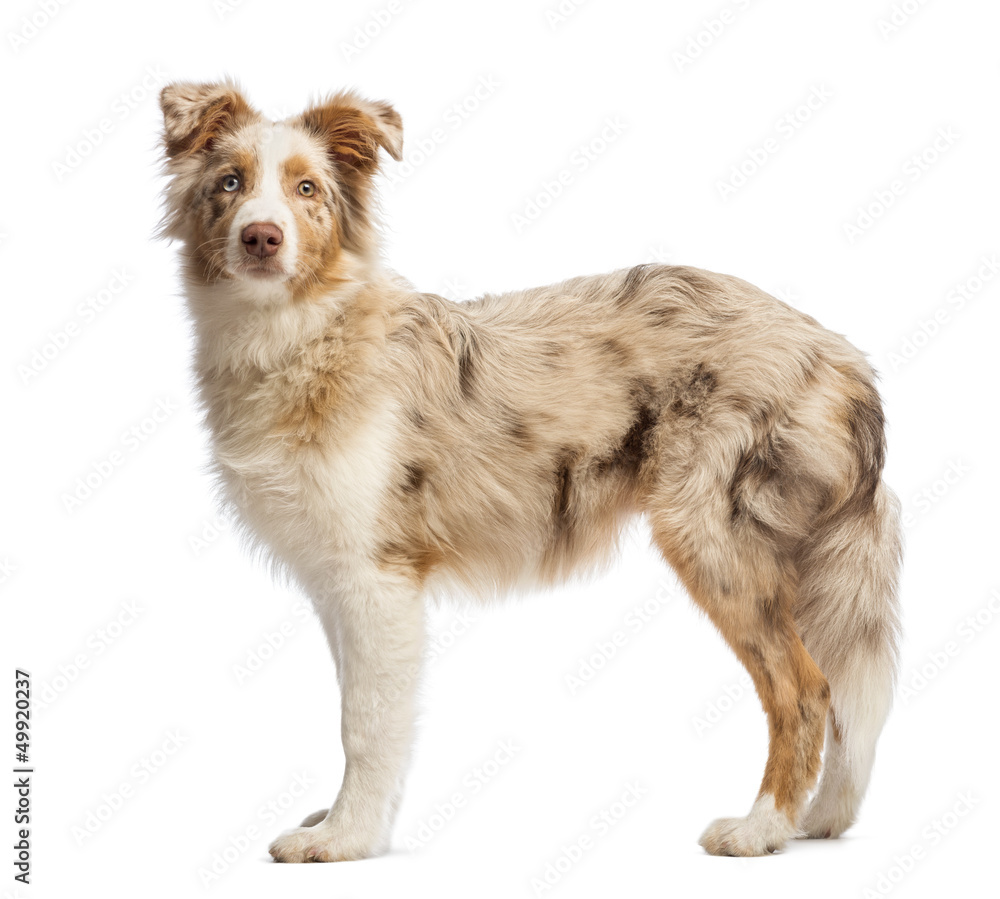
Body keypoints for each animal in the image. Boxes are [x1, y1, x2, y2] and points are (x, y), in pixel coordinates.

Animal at [160, 84, 904, 864]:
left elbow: (365, 723)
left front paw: (344, 838)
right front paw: (344, 821)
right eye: (230, 183)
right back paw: (819, 817)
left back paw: (760, 827)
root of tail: (842, 355)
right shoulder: (339, 578)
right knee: (846, 695)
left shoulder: (377, 576)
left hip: (714, 538)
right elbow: (366, 712)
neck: (300, 334)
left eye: (306, 189)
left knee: (805, 690)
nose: (261, 238)